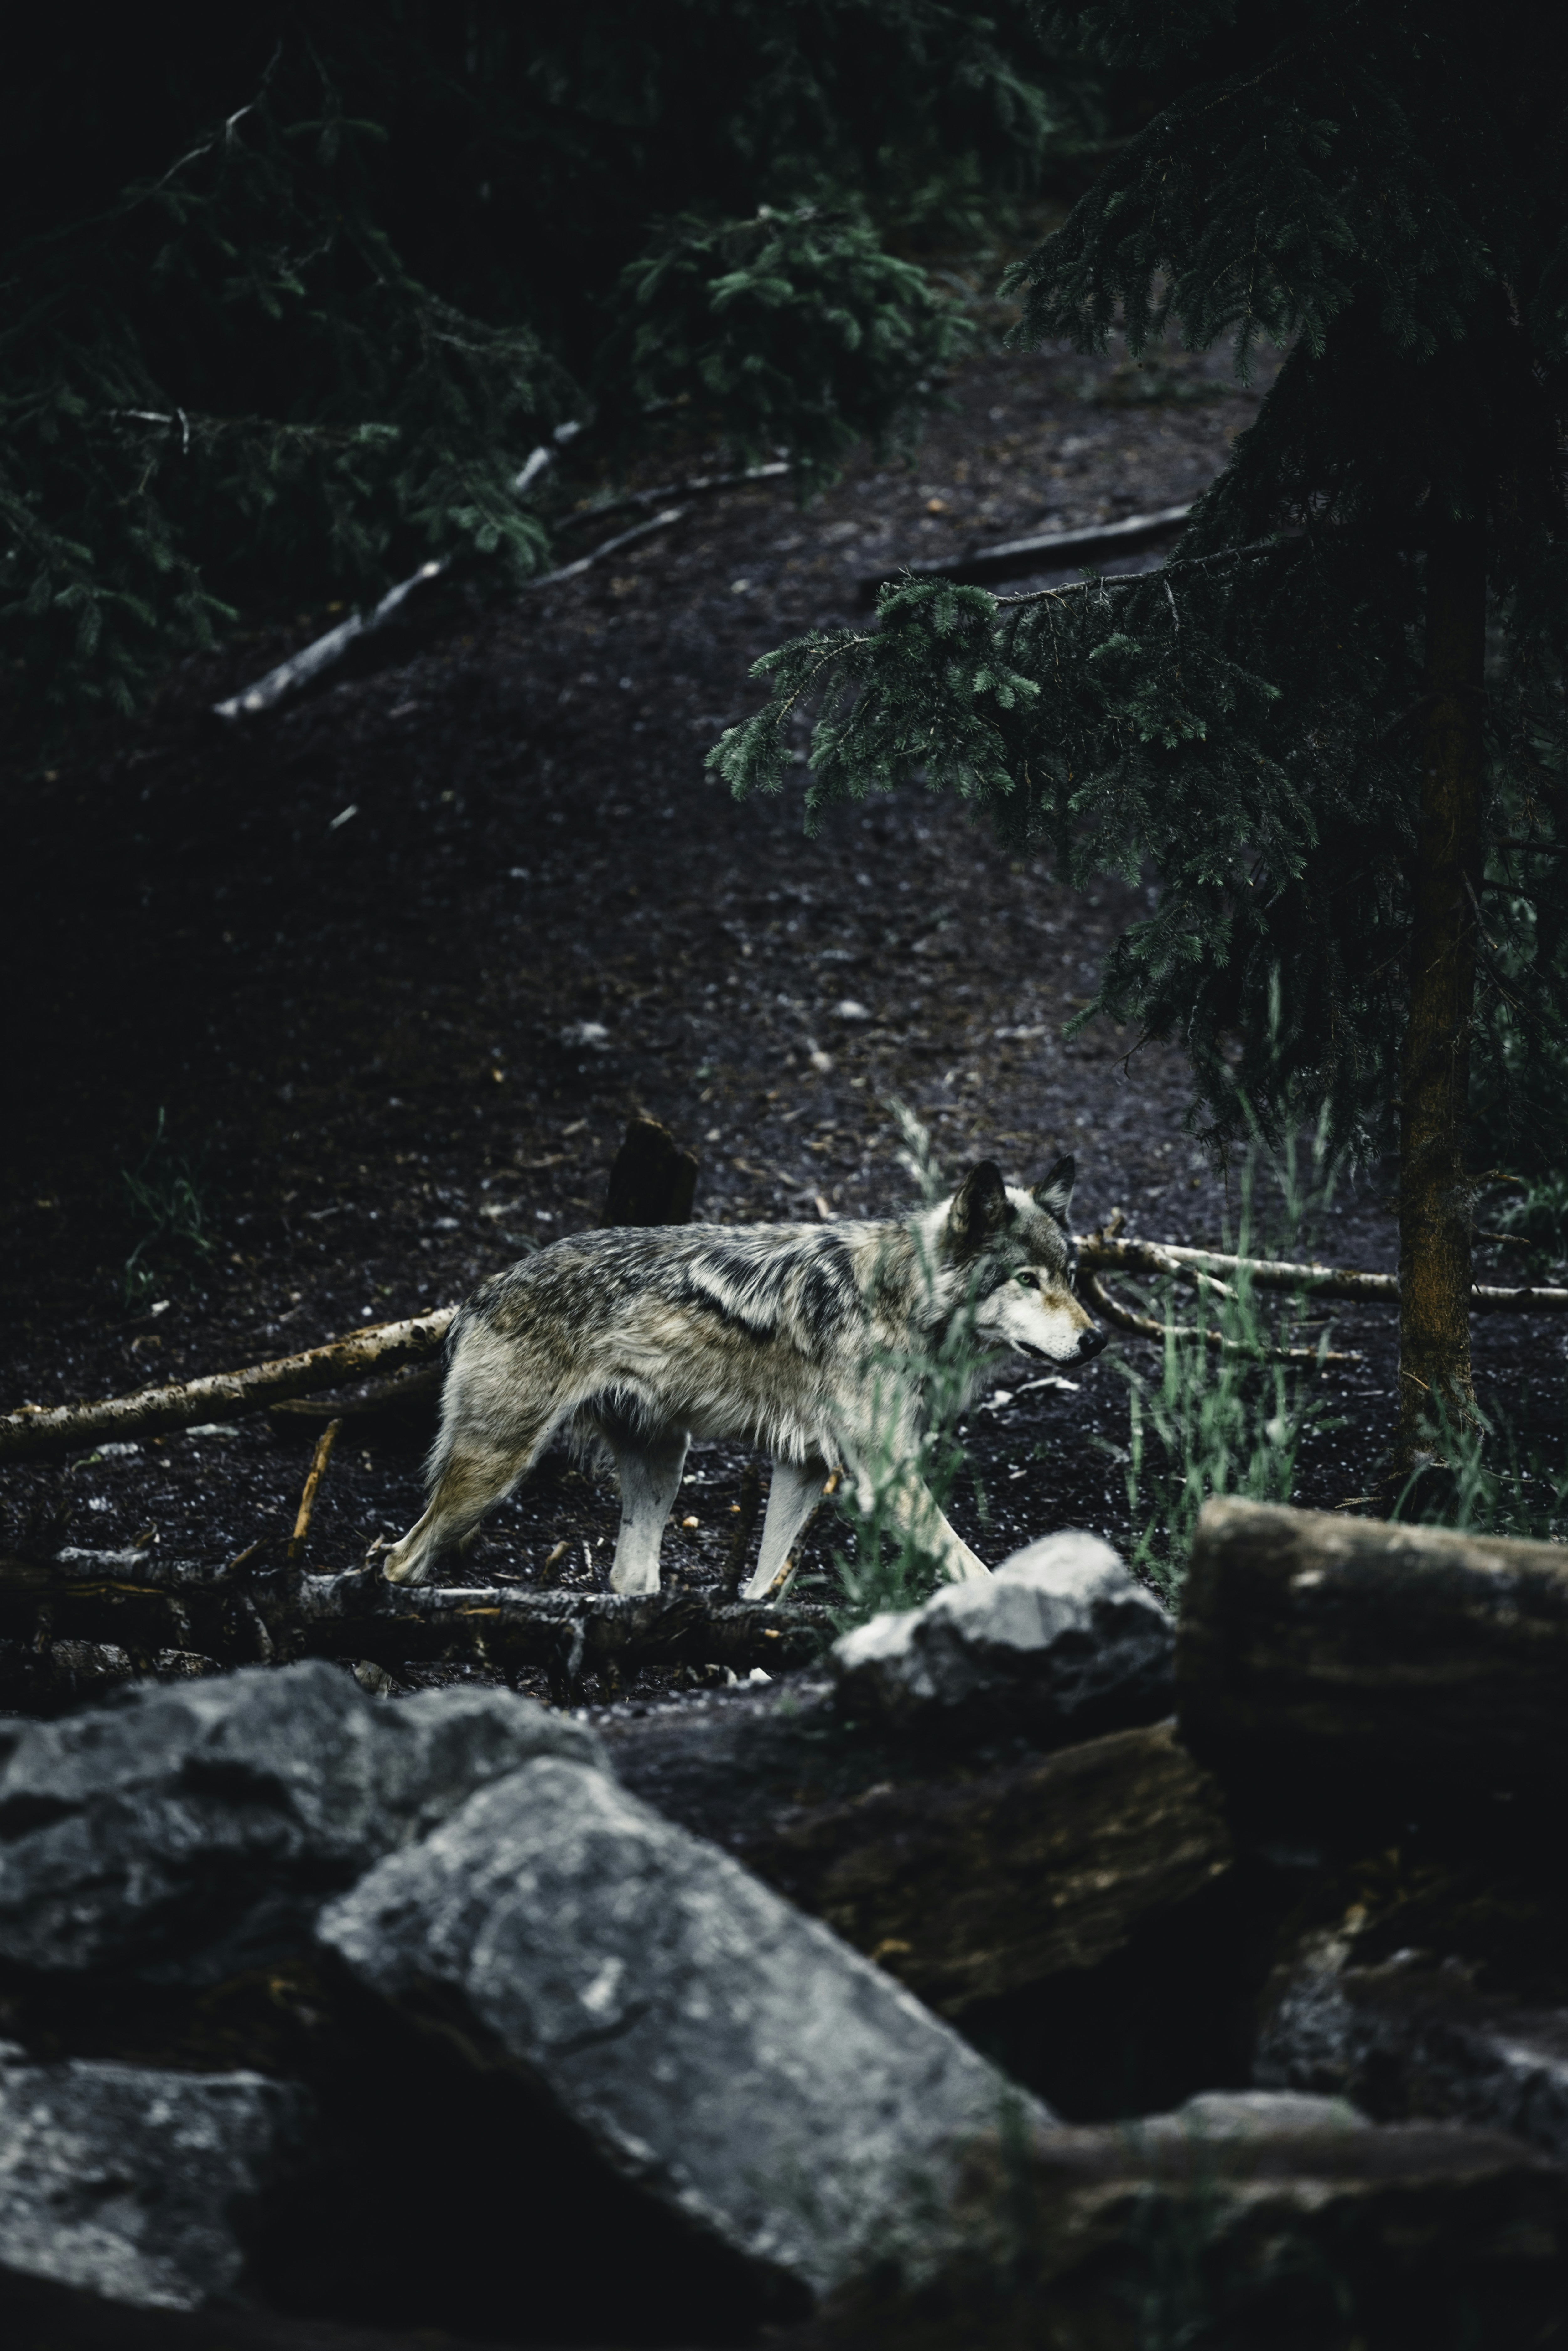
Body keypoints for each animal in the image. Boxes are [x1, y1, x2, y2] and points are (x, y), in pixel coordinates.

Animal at [381, 1154, 1104, 1598]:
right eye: (1026, 1280)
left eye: (1069, 1276)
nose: (1096, 1338)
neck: (898, 1298)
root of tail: (478, 1294)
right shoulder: (887, 1479)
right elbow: (972, 1566)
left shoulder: (803, 1466)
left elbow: (764, 1584)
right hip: (495, 1470)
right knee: (399, 1557)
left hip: (662, 1468)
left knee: (630, 1580)